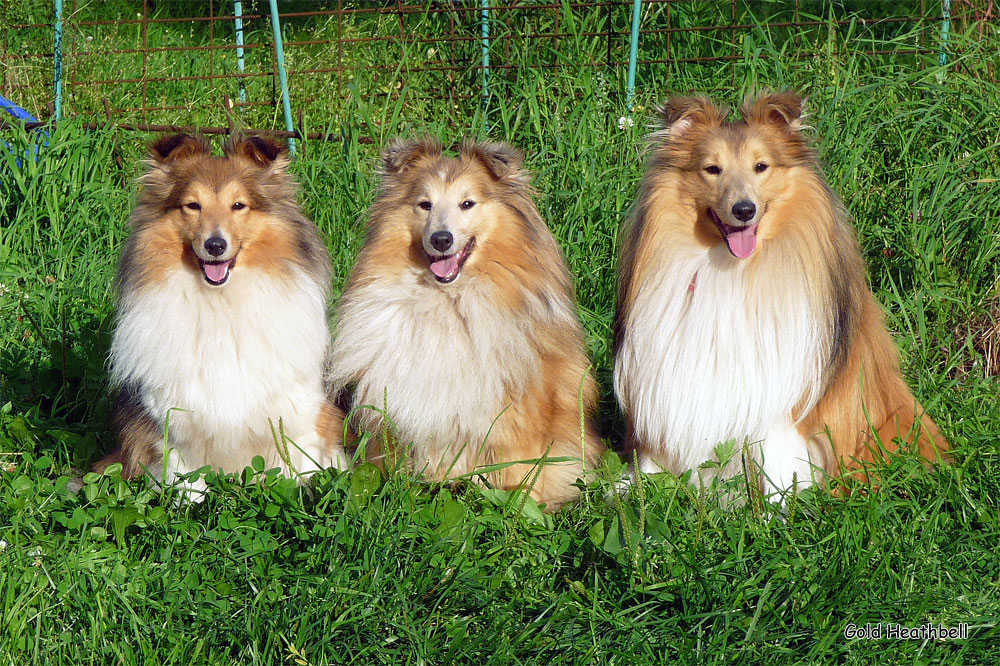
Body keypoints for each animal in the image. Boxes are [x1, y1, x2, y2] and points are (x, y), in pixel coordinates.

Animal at [97, 132, 348, 492]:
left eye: (238, 205)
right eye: (192, 205)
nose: (215, 245)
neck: (221, 302)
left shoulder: (301, 412)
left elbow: (299, 467)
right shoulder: (173, 423)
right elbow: (188, 485)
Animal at [332, 137, 604, 506]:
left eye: (467, 203)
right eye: (424, 204)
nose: (441, 239)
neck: (449, 300)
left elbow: (520, 466)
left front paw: (519, 501)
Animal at [612, 93, 948, 496]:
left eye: (761, 166)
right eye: (712, 169)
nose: (744, 210)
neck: (732, 269)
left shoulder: (779, 404)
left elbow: (777, 467)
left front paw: (779, 508)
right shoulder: (661, 382)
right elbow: (651, 459)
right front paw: (634, 493)